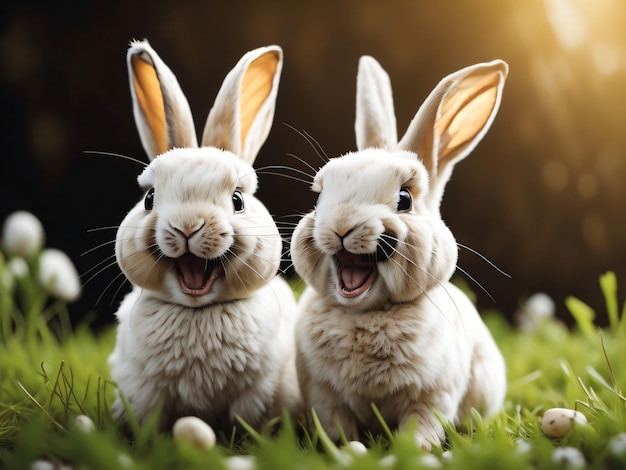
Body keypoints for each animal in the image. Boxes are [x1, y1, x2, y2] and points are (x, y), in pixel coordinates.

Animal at [107, 40, 300, 436]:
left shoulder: (256, 392)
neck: (197, 312)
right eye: (149, 199)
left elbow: (245, 420)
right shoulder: (145, 391)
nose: (187, 226)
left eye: (238, 200)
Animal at [292, 55, 508, 448]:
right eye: (320, 197)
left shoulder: (433, 395)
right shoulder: (323, 395)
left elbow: (422, 425)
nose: (341, 226)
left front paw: (413, 451)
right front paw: (345, 448)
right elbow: (336, 425)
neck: (366, 315)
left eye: (405, 199)